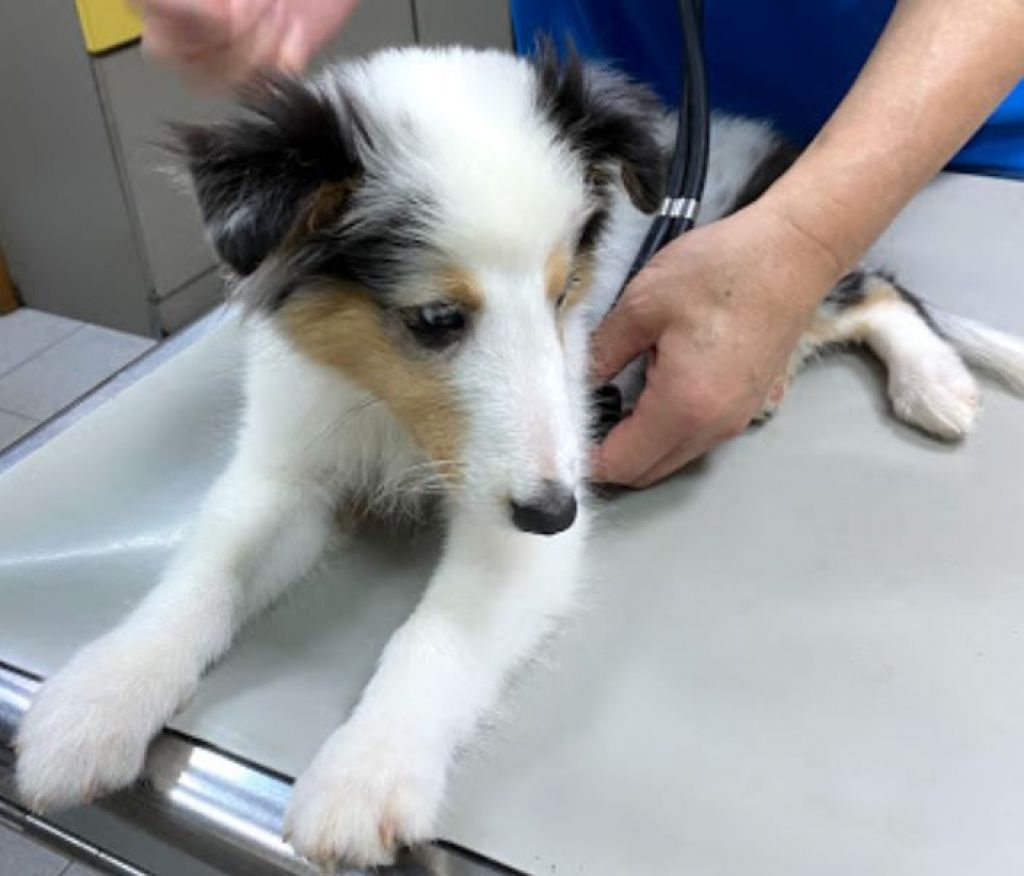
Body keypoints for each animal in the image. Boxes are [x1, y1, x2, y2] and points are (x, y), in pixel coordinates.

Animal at [16, 45, 1024, 867]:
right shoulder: (289, 461)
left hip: (767, 262)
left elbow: (434, 634)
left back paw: (935, 382)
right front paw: (94, 704)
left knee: (875, 288)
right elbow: (206, 573)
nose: (556, 510)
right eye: (434, 318)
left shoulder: (522, 514)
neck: (388, 412)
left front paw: (364, 776)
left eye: (562, 292)